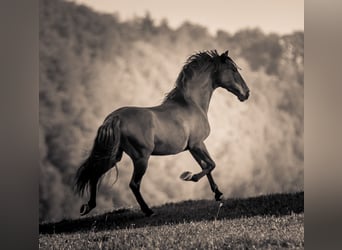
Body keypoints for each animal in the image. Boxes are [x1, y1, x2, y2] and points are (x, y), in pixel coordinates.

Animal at [75, 49, 250, 216]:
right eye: (233, 69)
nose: (246, 93)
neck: (192, 104)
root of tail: (114, 117)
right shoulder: (197, 144)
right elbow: (211, 165)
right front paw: (189, 176)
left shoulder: (192, 147)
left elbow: (206, 165)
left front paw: (218, 193)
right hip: (141, 158)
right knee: (134, 184)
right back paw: (148, 211)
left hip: (114, 155)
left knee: (95, 174)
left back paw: (88, 206)